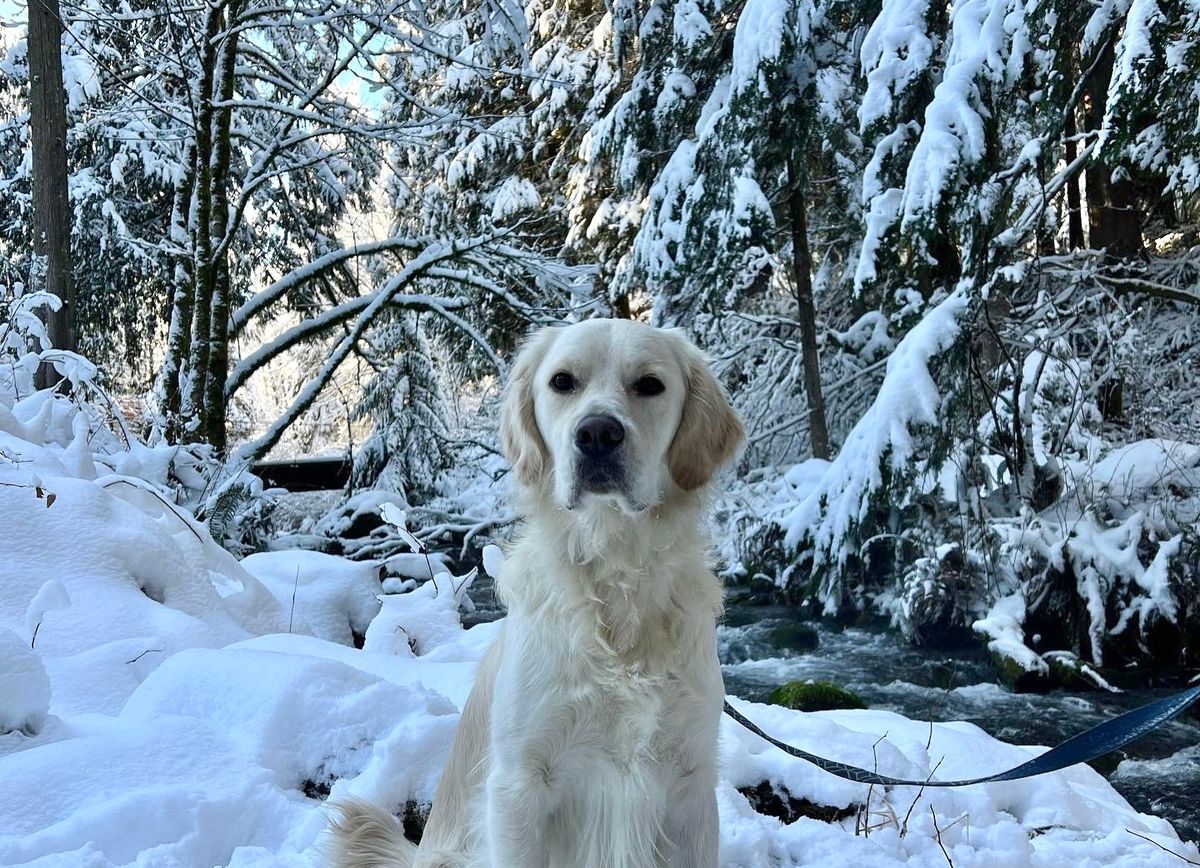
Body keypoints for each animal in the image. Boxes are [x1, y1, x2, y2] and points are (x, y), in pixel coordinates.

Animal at [328, 321, 739, 868]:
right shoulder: (520, 784)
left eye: (650, 384)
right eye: (562, 381)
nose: (597, 433)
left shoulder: (690, 782)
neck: (615, 571)